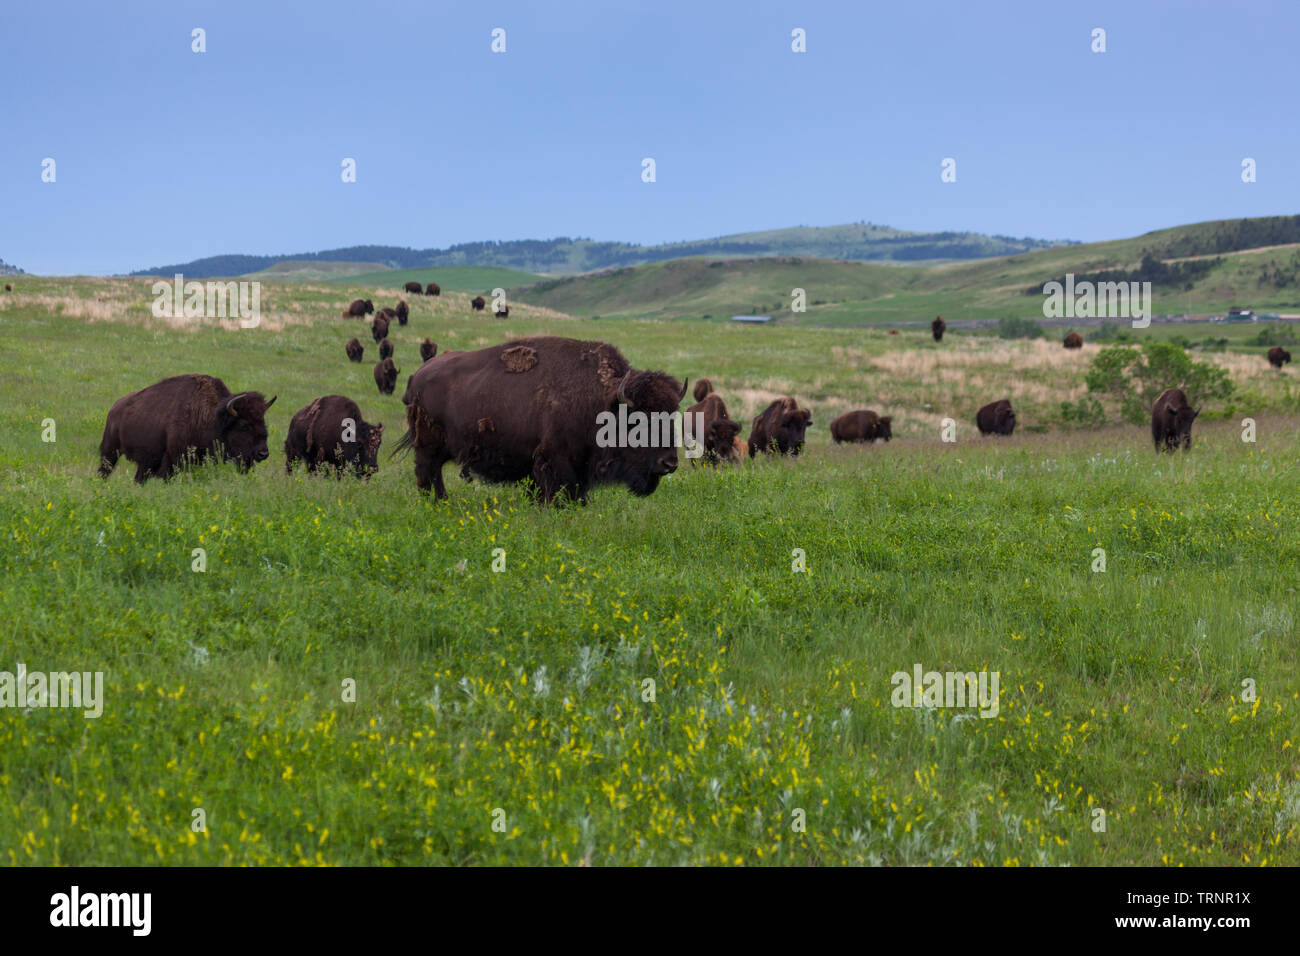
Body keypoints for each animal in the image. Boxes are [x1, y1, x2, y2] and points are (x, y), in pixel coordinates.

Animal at [98, 374, 275, 483]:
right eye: (244, 425)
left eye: (263, 421)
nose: (263, 453)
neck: (213, 417)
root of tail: (114, 409)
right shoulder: (174, 460)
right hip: (110, 451)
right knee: (104, 470)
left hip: (144, 462)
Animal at [395, 335, 686, 503]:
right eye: (639, 421)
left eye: (673, 416)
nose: (669, 463)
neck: (603, 400)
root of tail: (417, 375)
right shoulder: (556, 460)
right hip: (428, 447)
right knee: (427, 474)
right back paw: (436, 503)